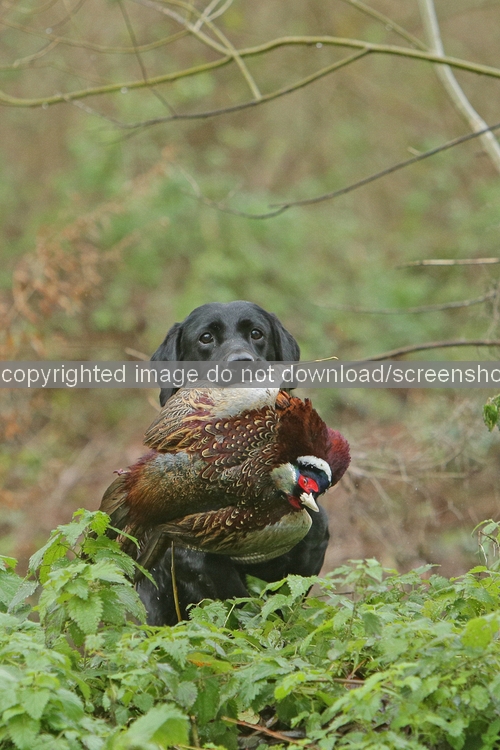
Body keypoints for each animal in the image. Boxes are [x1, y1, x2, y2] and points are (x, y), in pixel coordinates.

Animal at [137, 301, 330, 625]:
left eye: (256, 333)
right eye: (206, 338)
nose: (243, 362)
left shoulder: (312, 537)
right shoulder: (197, 557)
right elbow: (241, 606)